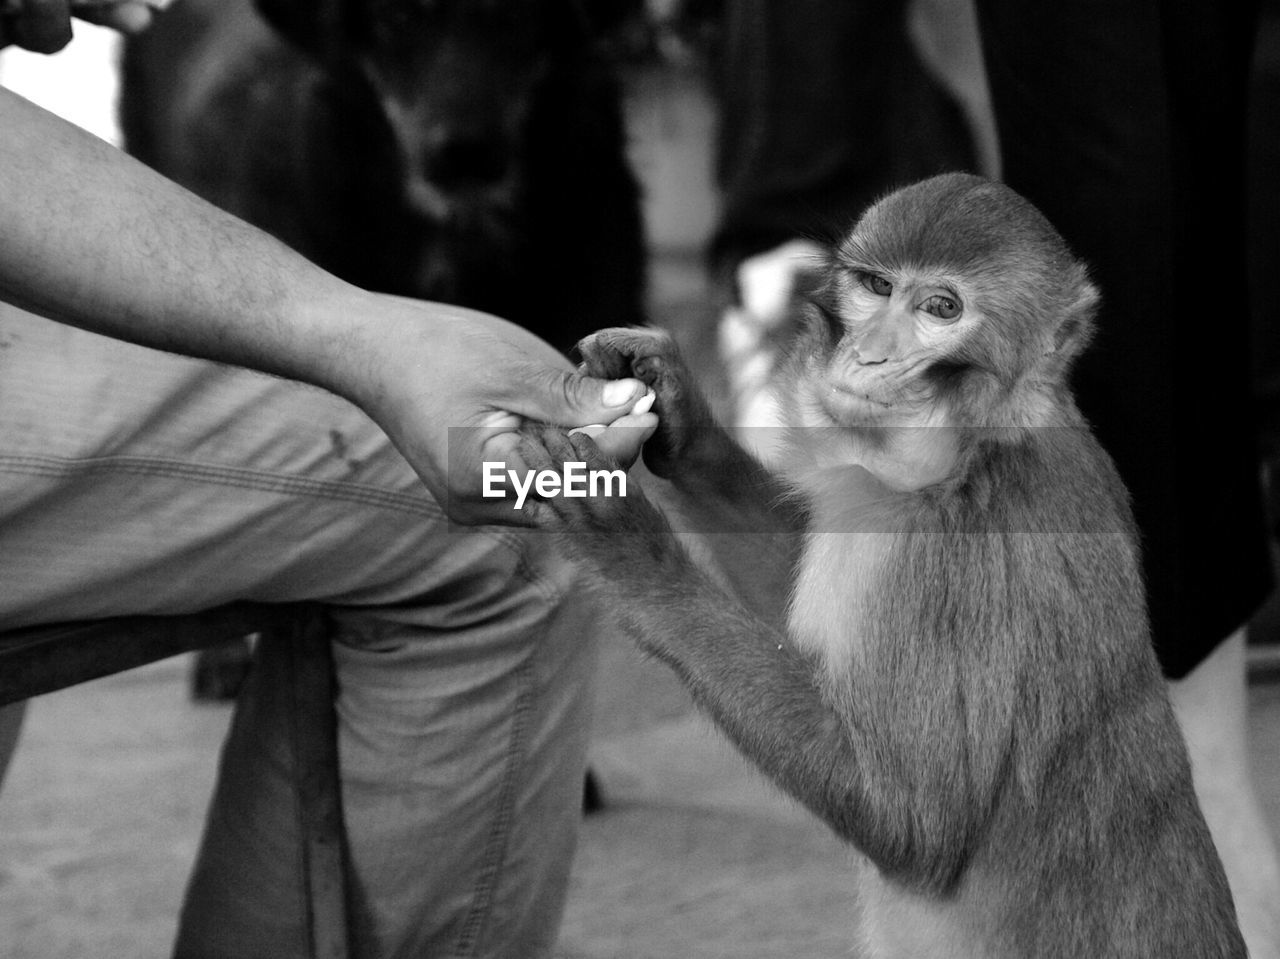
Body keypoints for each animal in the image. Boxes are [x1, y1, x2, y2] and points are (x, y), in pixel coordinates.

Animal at [514, 171, 1244, 957]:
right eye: (875, 286)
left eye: (941, 308)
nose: (868, 353)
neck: (974, 451)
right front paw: (681, 414)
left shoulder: (950, 568)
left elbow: (913, 823)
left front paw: (632, 548)